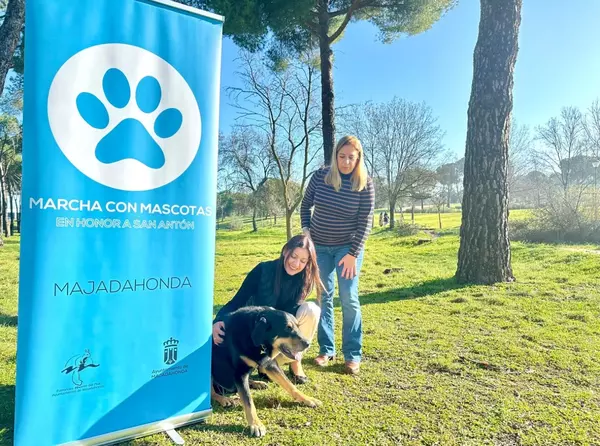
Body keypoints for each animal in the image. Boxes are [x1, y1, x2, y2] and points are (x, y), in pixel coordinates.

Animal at [212, 304, 324, 438]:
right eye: (287, 328)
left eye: (298, 326)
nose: (308, 343)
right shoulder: (240, 373)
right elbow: (248, 401)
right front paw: (256, 424)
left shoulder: (270, 363)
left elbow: (290, 385)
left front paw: (307, 399)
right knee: (212, 392)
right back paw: (225, 399)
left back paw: (257, 383)